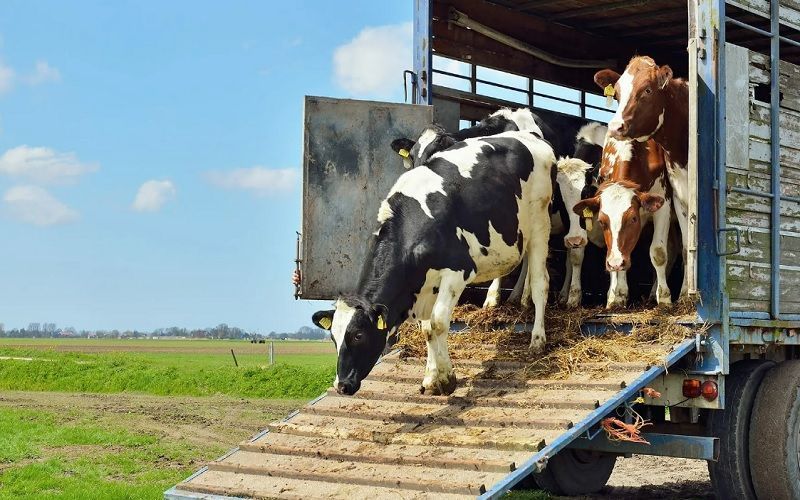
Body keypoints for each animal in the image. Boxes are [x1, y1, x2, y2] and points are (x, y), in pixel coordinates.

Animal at [313, 131, 555, 396]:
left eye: (358, 335)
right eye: (333, 338)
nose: (341, 385)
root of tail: (529, 136)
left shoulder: (457, 271)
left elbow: (438, 323)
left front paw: (448, 378)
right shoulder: (425, 286)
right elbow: (427, 329)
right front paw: (431, 378)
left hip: (540, 222)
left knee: (541, 283)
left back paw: (537, 340)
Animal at [573, 135, 673, 307]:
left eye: (633, 218)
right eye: (601, 221)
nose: (615, 263)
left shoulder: (663, 204)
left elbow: (658, 253)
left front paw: (664, 297)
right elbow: (614, 251)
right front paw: (616, 295)